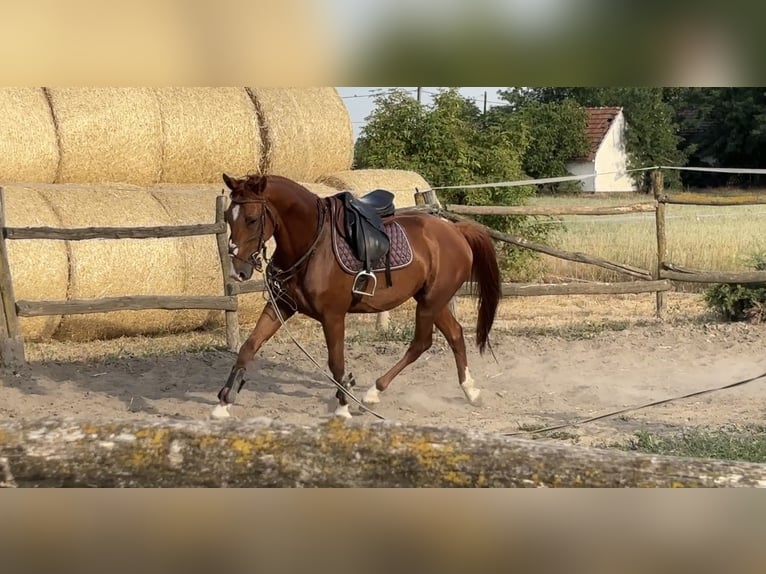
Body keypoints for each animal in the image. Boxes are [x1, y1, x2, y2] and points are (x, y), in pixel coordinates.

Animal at [213, 173, 501, 419]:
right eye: (227, 216)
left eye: (252, 218)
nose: (238, 271)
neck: (313, 246)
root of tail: (456, 231)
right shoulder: (281, 306)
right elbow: (248, 347)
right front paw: (223, 403)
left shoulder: (333, 316)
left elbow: (336, 363)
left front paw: (342, 407)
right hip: (432, 301)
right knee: (454, 334)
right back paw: (470, 391)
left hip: (431, 302)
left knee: (421, 343)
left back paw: (373, 393)